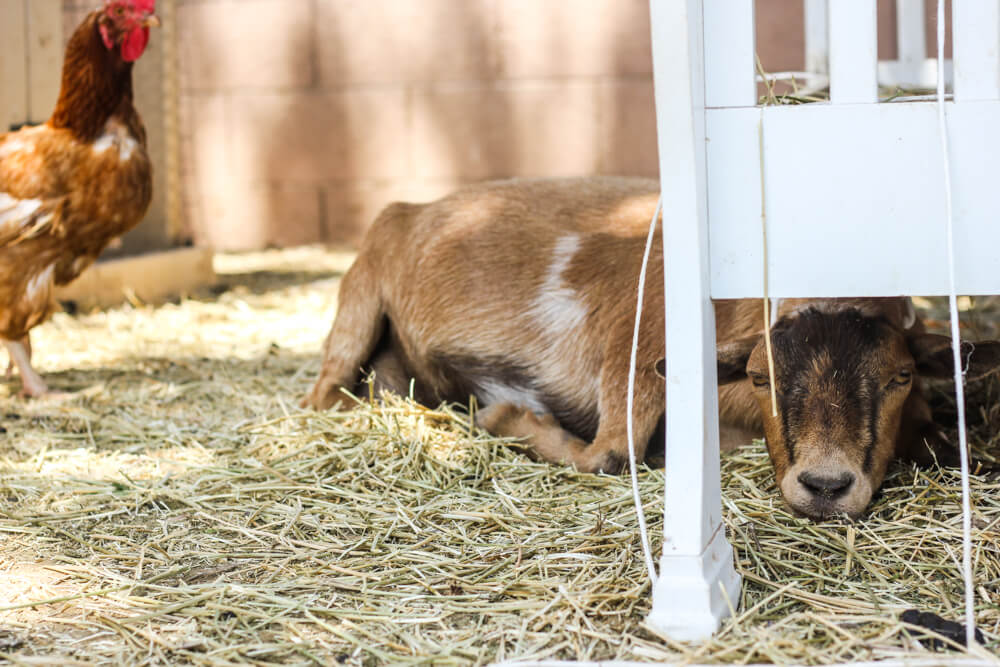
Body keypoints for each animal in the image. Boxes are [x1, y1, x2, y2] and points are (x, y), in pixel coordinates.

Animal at [302, 177, 1000, 520]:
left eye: (900, 377)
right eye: (760, 377)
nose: (825, 486)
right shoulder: (633, 345)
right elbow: (611, 456)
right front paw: (504, 416)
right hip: (361, 290)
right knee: (326, 397)